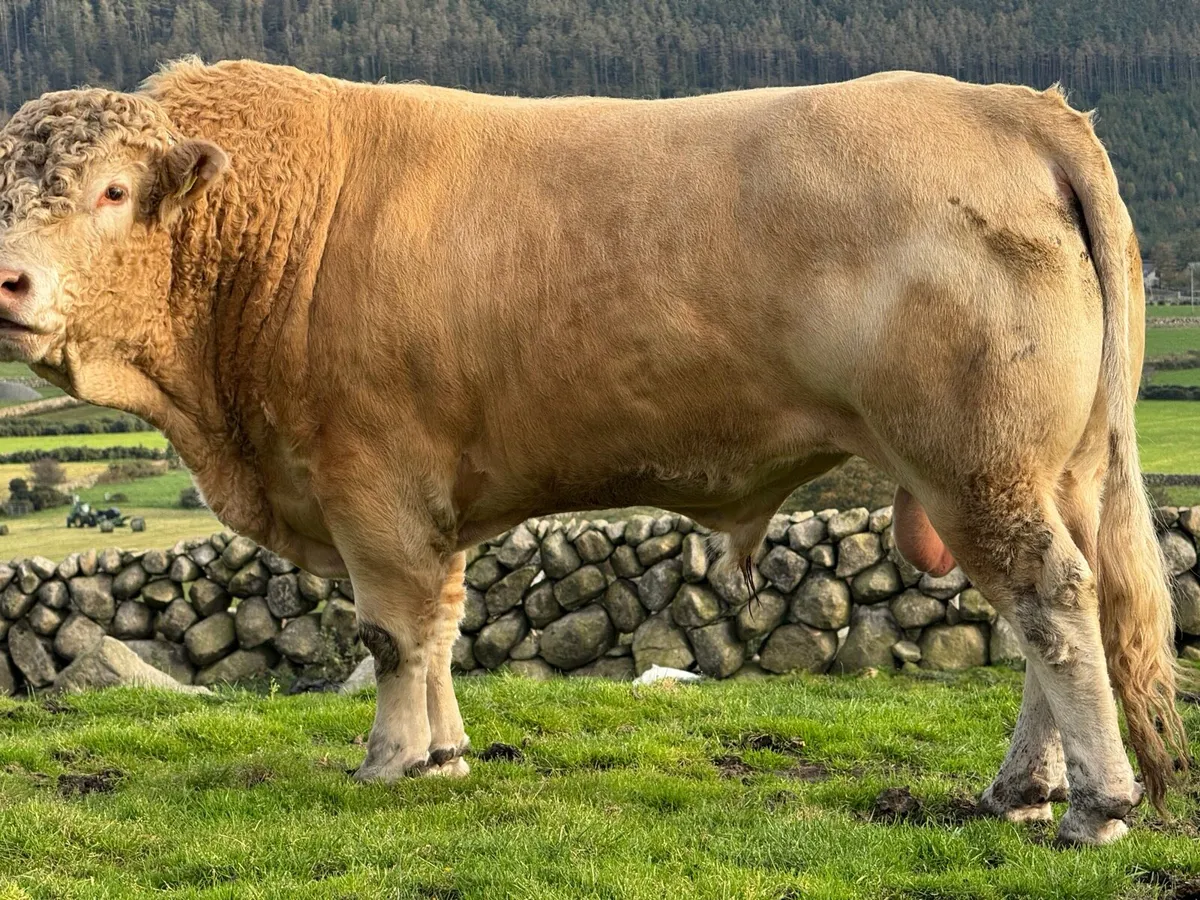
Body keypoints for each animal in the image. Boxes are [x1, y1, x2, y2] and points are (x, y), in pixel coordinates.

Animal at [0, 58, 1185, 845]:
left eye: (111, 191)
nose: (6, 280)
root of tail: (1008, 104)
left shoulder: (371, 483)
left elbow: (392, 635)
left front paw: (391, 763)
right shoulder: (428, 501)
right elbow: (440, 627)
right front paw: (444, 757)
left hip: (977, 462)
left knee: (1053, 603)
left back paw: (1094, 804)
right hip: (1046, 468)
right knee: (1056, 614)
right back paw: (1025, 787)